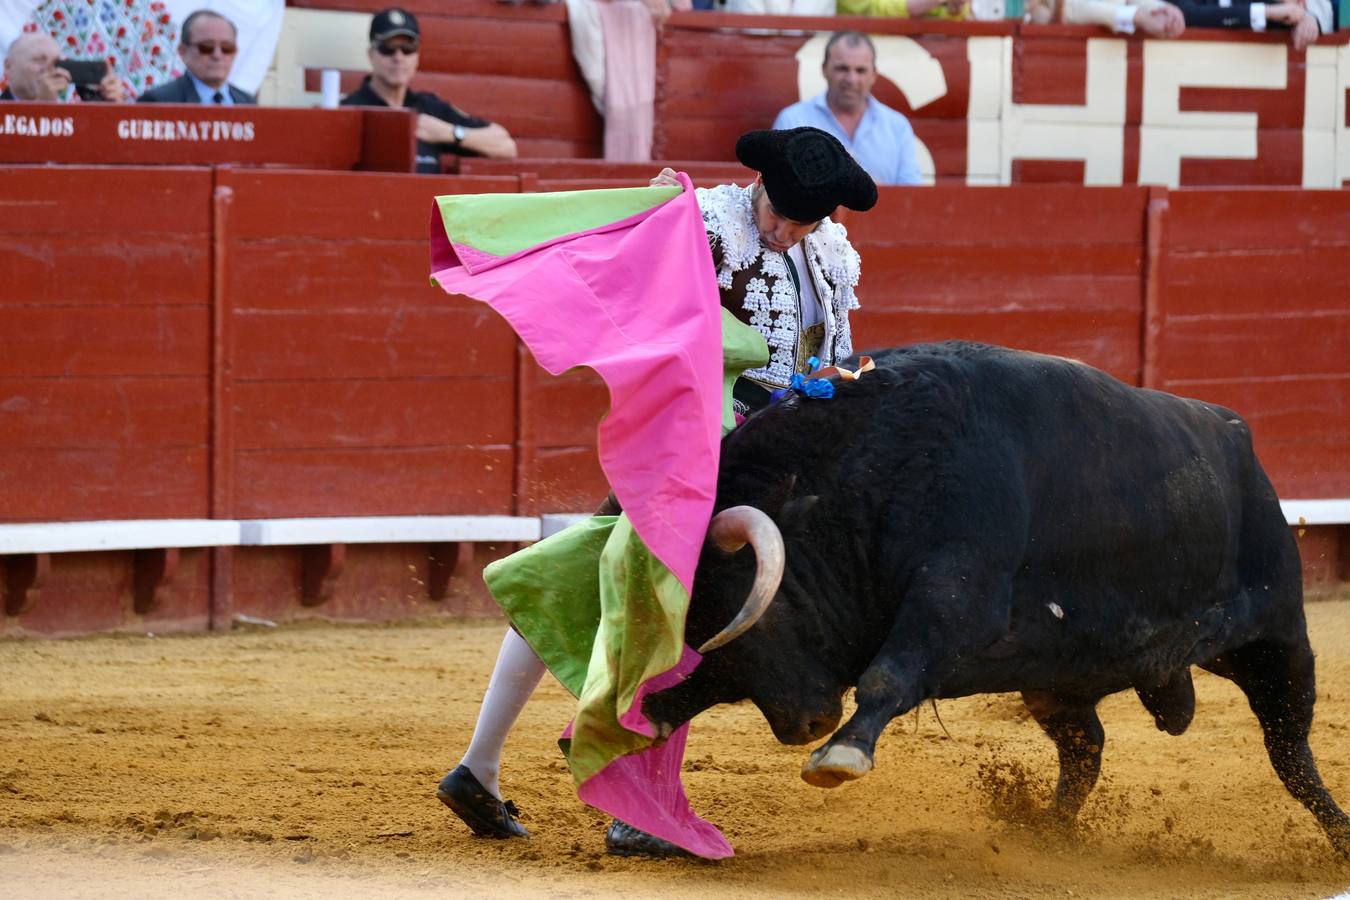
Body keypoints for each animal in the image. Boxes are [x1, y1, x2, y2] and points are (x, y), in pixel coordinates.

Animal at [642, 340, 1350, 858]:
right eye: (698, 622)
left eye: (740, 608)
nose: (802, 726)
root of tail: (1237, 438)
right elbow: (707, 684)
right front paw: (645, 717)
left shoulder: (956, 596)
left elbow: (889, 674)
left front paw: (839, 755)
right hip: (1056, 681)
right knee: (1086, 745)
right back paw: (1049, 832)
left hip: (1278, 636)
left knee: (1290, 747)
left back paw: (1338, 837)